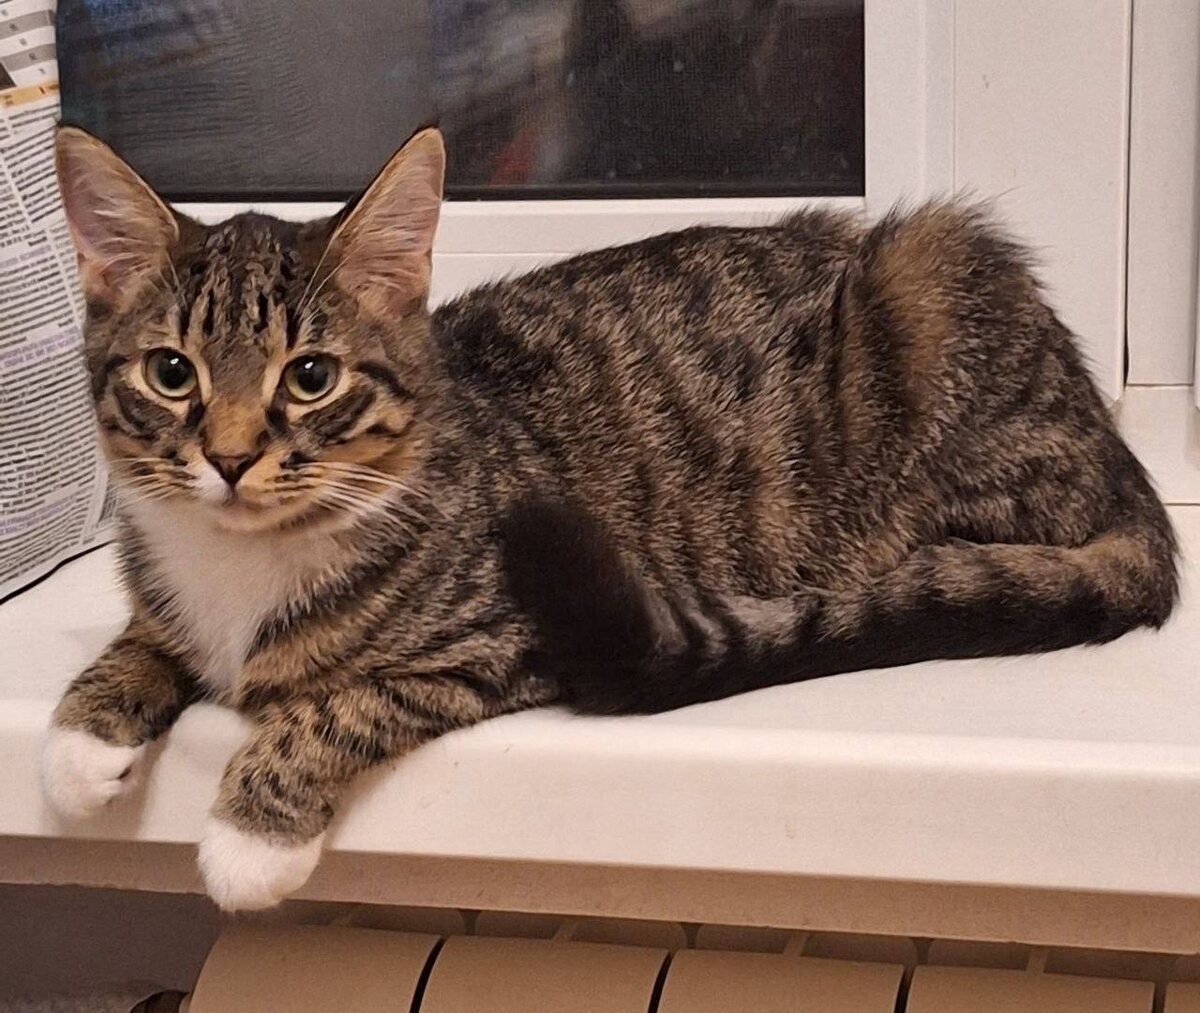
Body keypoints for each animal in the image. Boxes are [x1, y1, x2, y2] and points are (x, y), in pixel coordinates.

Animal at [42, 124, 1177, 911]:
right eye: (171, 372)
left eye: (310, 377)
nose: (230, 458)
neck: (243, 563)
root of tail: (1118, 456)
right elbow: (146, 635)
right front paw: (80, 737)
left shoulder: (504, 632)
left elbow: (349, 701)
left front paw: (251, 835)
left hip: (933, 288)